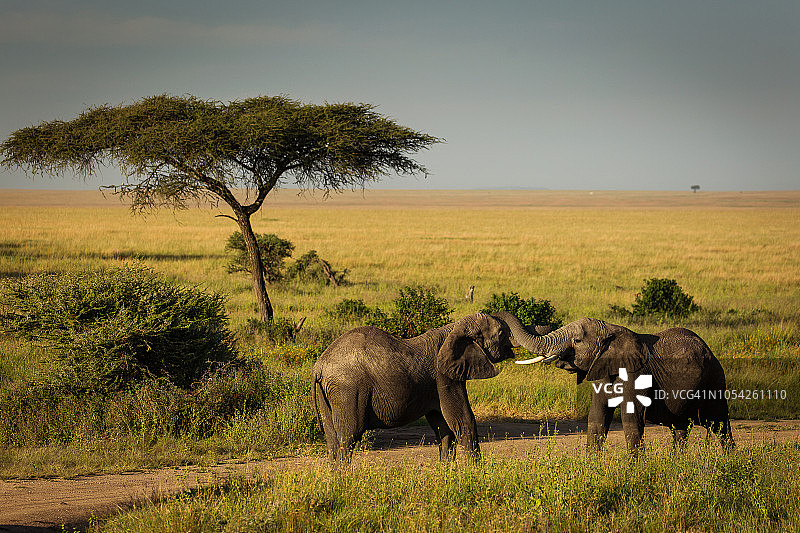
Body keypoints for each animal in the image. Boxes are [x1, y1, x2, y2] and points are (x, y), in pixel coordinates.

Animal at [311, 311, 551, 465]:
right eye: (501, 332)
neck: (454, 328)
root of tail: (319, 366)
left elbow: (442, 426)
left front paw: (447, 472)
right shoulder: (444, 376)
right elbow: (462, 419)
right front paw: (476, 472)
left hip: (329, 393)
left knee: (332, 438)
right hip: (347, 390)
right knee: (348, 436)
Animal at [514, 317, 734, 454]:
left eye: (577, 341)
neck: (611, 332)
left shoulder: (636, 374)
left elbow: (631, 417)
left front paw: (635, 470)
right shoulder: (601, 369)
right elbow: (597, 417)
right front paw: (591, 468)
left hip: (714, 380)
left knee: (720, 424)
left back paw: (729, 462)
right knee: (680, 428)